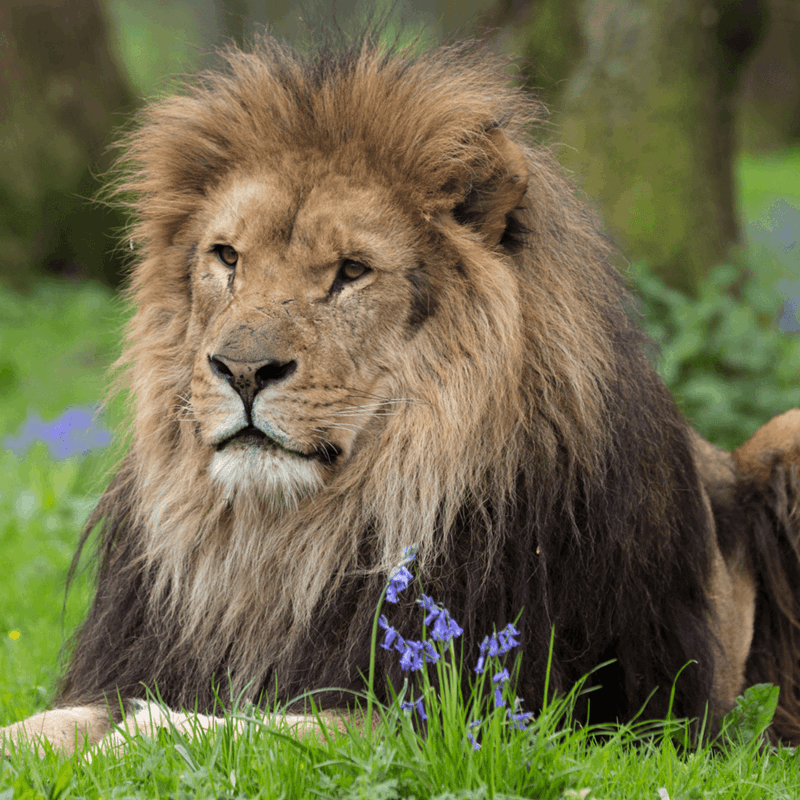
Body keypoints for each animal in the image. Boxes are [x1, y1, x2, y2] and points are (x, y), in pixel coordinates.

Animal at [4, 31, 800, 755]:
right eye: (226, 257)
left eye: (352, 271)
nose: (242, 370)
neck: (283, 545)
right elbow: (47, 723)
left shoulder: (507, 711)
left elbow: (275, 726)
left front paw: (156, 729)